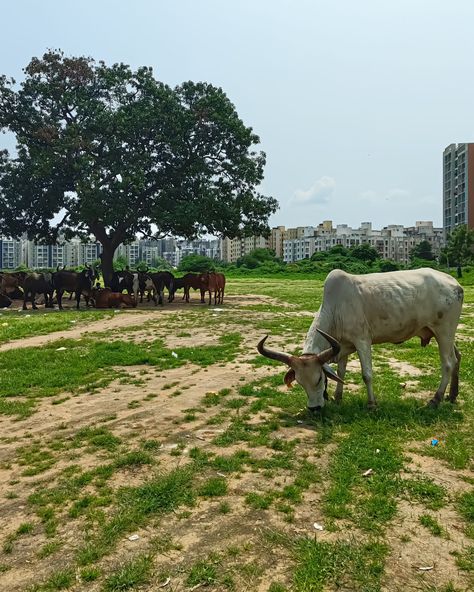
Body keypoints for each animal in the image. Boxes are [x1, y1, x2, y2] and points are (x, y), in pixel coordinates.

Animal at [258, 270, 464, 412]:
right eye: (300, 382)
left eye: (319, 379)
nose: (314, 408)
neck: (336, 308)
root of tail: (455, 284)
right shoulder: (341, 345)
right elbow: (341, 371)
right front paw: (337, 397)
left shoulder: (362, 340)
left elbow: (367, 374)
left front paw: (371, 404)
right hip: (443, 333)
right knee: (457, 357)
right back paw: (452, 395)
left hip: (444, 331)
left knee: (448, 363)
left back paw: (435, 400)